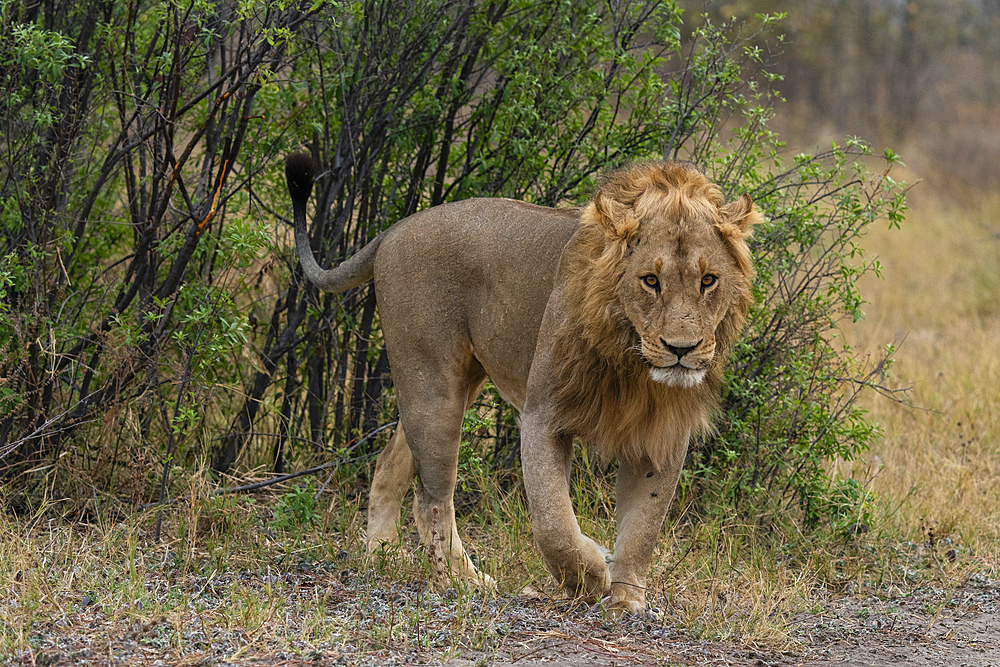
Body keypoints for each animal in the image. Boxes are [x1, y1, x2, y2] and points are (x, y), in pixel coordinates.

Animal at [284, 155, 756, 616]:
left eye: (708, 280)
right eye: (650, 281)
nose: (682, 348)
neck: (631, 362)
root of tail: (394, 229)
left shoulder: (661, 432)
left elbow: (643, 527)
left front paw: (626, 598)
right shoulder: (542, 415)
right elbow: (553, 521)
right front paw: (588, 576)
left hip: (452, 384)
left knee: (388, 465)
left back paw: (380, 554)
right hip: (432, 384)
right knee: (432, 496)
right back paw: (463, 580)